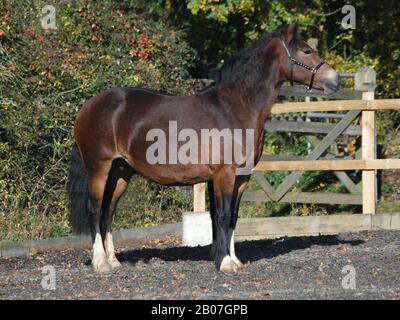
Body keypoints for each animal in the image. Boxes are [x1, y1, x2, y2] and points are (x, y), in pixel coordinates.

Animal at [67, 21, 340, 272]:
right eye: (307, 51)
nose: (335, 80)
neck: (234, 108)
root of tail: (87, 107)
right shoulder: (223, 175)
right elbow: (222, 216)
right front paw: (224, 263)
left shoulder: (241, 178)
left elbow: (232, 217)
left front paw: (233, 260)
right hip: (99, 168)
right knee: (94, 210)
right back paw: (101, 263)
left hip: (121, 172)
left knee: (108, 211)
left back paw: (114, 260)